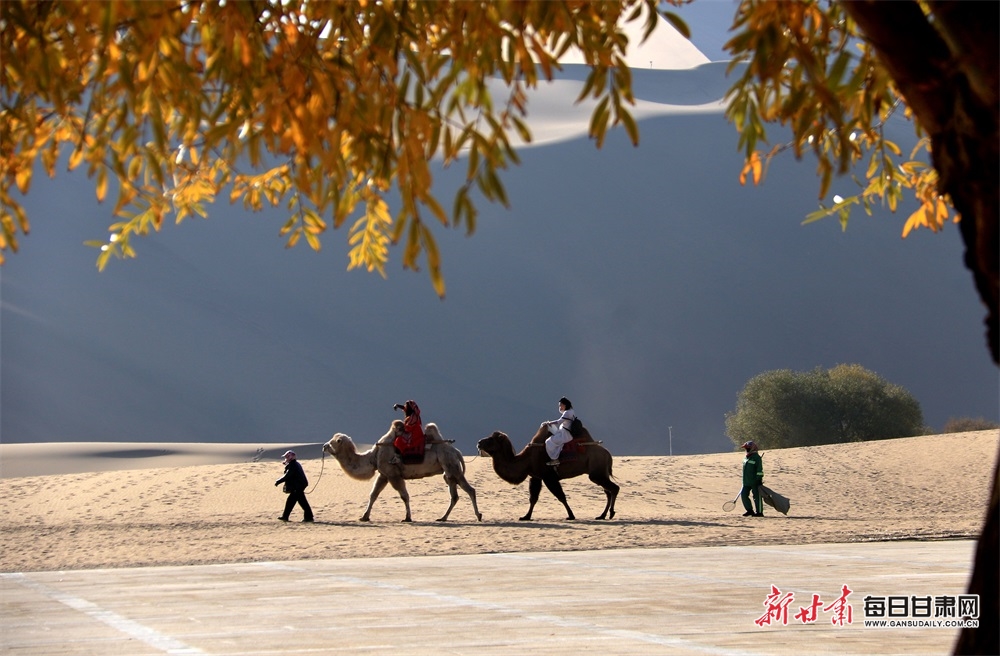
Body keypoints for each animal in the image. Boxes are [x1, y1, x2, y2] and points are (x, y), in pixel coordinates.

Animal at [322, 420, 482, 524]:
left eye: (334, 441)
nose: (324, 446)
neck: (373, 457)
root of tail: (456, 451)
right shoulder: (384, 474)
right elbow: (373, 494)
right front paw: (364, 517)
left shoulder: (393, 475)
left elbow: (404, 496)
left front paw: (408, 518)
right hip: (448, 472)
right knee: (454, 495)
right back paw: (443, 518)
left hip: (452, 467)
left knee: (470, 490)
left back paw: (478, 516)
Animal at [476, 428, 616, 520]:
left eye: (490, 439)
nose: (479, 442)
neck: (526, 460)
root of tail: (608, 454)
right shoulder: (536, 477)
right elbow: (533, 498)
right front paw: (526, 516)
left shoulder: (549, 477)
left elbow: (561, 497)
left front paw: (571, 515)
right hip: (600, 473)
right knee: (608, 491)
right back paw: (602, 515)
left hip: (596, 473)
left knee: (614, 488)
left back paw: (611, 513)